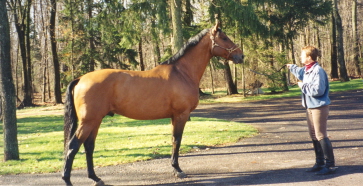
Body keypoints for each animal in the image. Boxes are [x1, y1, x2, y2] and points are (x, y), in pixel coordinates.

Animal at [61, 22, 245, 186]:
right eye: (224, 37)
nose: (241, 56)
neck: (182, 73)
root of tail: (80, 79)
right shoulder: (181, 115)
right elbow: (177, 140)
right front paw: (177, 170)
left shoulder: (174, 117)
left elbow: (173, 140)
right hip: (88, 121)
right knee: (73, 146)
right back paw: (67, 179)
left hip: (95, 120)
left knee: (88, 146)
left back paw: (95, 178)